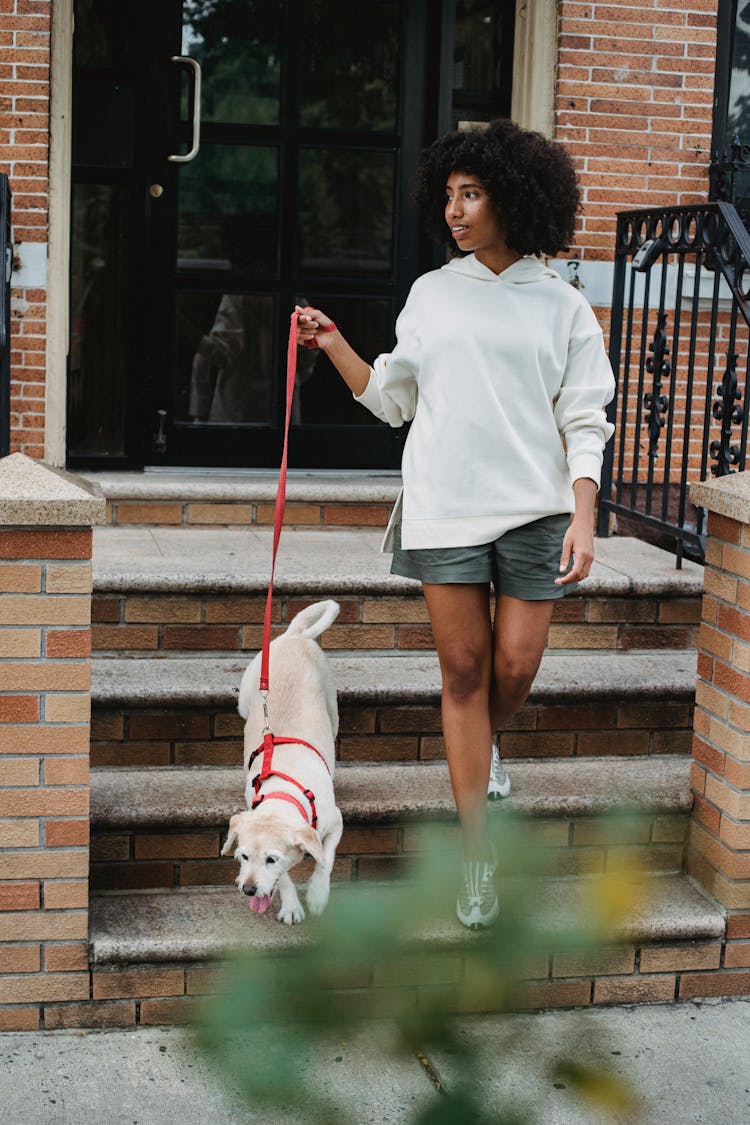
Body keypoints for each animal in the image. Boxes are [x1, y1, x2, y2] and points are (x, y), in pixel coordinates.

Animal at [220, 598, 344, 922]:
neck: (285, 791)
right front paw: (291, 906)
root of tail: (296, 635)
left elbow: (326, 858)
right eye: (243, 856)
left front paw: (317, 894)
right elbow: (286, 878)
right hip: (247, 695)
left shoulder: (336, 821)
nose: (248, 889)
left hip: (332, 704)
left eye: (271, 859)